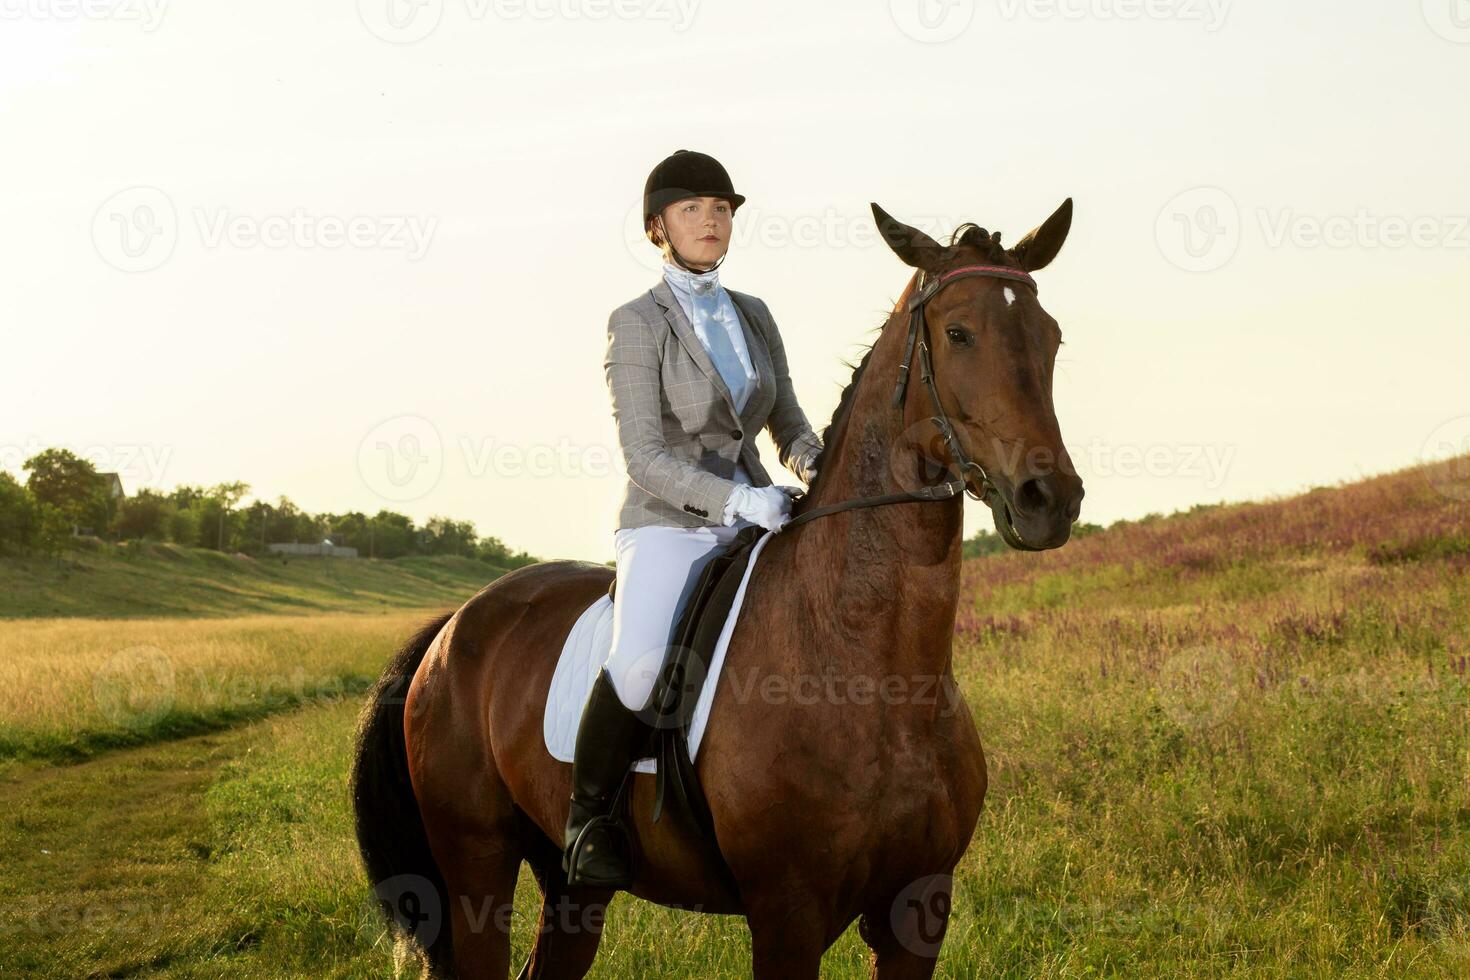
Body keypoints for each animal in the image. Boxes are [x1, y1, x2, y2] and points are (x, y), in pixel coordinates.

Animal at [349, 195, 1087, 975]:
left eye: (1050, 337)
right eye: (957, 333)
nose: (1050, 499)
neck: (876, 673)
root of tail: (453, 625)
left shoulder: (920, 907)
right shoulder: (787, 914)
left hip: (571, 886)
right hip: (475, 862)